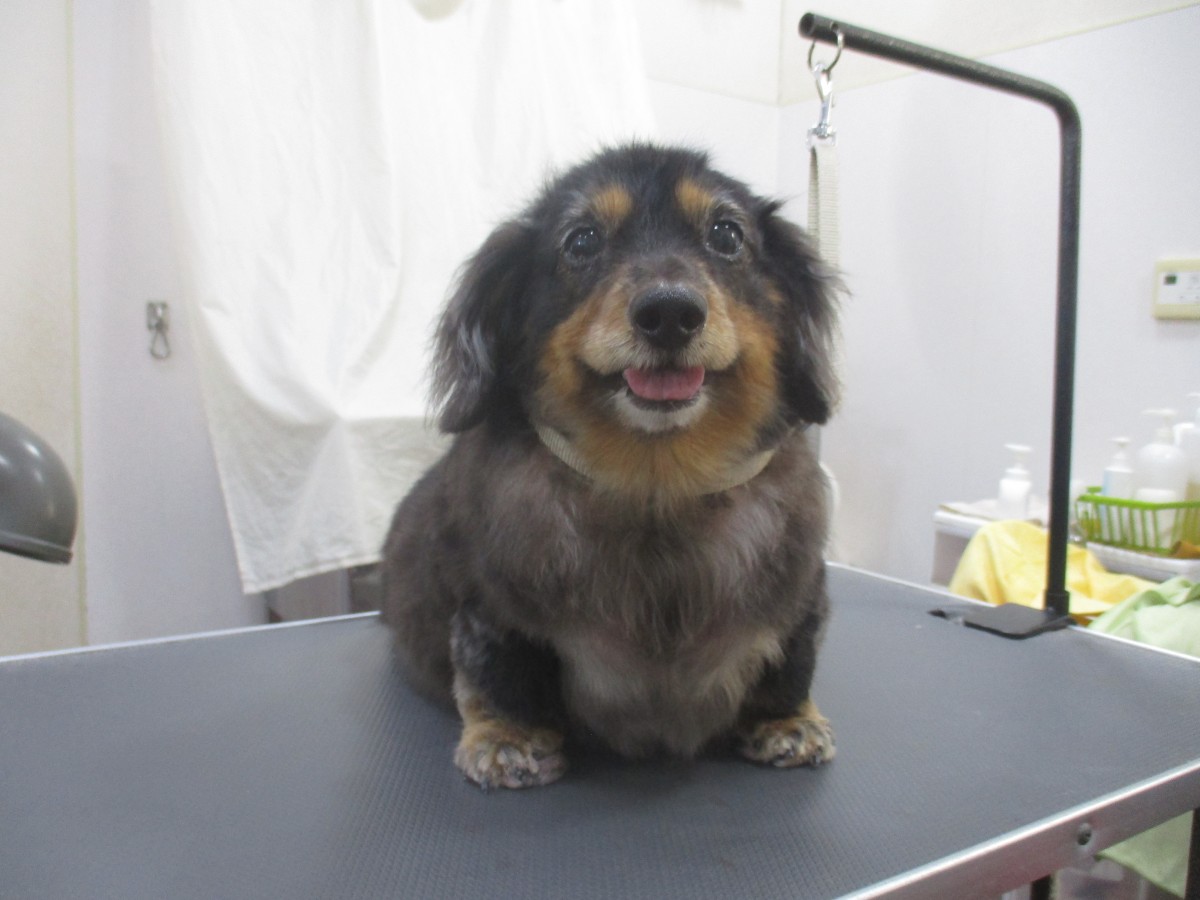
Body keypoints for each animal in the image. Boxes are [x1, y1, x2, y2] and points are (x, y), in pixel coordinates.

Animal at [381, 143, 839, 789]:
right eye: (582, 240)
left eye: (726, 234)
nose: (670, 313)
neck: (657, 484)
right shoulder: (488, 604)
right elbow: (499, 672)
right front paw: (508, 739)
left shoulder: (799, 592)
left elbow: (792, 659)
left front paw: (785, 722)